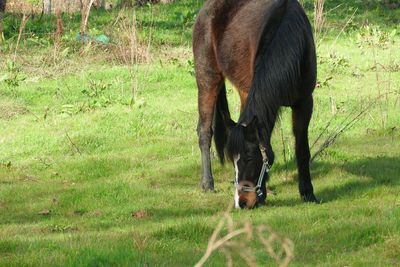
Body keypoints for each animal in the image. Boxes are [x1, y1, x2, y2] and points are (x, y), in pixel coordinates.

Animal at [192, 0, 320, 209]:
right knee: (204, 132)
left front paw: (308, 193)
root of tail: (207, 9)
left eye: (250, 158)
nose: (242, 202)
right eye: (233, 161)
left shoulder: (304, 103)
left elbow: (302, 150)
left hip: (243, 92)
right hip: (207, 80)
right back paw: (207, 183)